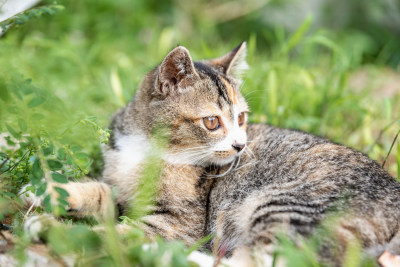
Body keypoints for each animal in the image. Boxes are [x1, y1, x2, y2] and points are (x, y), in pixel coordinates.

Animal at [21, 43, 400, 266]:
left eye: (241, 118)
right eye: (213, 121)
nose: (240, 146)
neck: (147, 151)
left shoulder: (177, 222)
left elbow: (121, 232)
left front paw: (57, 228)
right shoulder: (121, 186)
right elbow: (101, 190)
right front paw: (50, 190)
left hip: (283, 205)